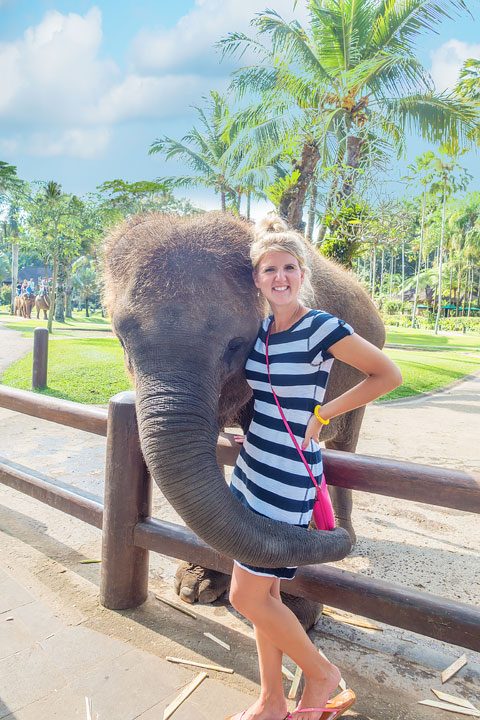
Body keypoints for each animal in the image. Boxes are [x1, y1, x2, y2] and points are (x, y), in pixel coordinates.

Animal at [103, 211, 384, 616]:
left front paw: (299, 611)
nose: (334, 535)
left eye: (235, 346)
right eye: (121, 340)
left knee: (346, 444)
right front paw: (196, 587)